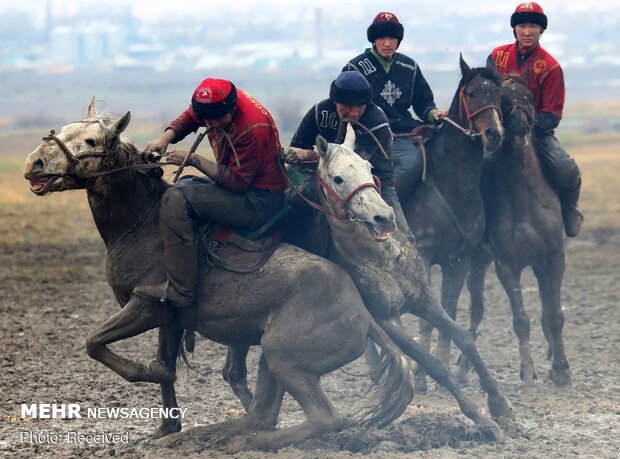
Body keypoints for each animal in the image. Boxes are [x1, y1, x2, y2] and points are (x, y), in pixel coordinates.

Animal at [21, 101, 414, 452]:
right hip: (272, 358)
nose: (34, 163)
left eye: (90, 141)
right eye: (63, 131)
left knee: (323, 418)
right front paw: (166, 426)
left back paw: (245, 441)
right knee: (264, 411)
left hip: (284, 358)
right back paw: (216, 434)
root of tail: (363, 313)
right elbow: (165, 364)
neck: (143, 224)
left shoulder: (146, 305)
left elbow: (95, 342)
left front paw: (153, 375)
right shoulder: (169, 318)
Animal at [400, 56, 506, 388]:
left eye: (498, 95)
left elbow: (448, 312)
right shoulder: (423, 256)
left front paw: (443, 366)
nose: (493, 134)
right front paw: (421, 376)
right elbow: (427, 319)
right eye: (471, 93)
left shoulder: (459, 261)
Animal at [456, 76, 572, 388]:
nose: (520, 128)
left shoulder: (552, 259)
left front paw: (561, 369)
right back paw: (462, 369)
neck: (524, 196)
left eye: (529, 97)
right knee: (476, 309)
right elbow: (521, 320)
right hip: (477, 263)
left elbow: (554, 315)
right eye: (505, 102)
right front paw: (527, 371)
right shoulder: (506, 265)